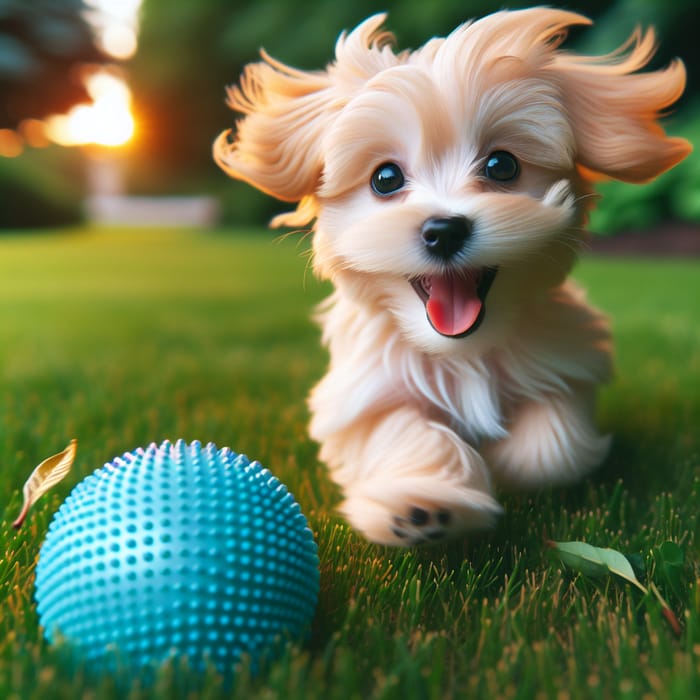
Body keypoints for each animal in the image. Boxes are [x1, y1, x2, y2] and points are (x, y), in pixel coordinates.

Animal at [215, 6, 688, 548]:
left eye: (502, 165)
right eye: (385, 178)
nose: (444, 230)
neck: (463, 353)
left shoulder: (565, 359)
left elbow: (553, 445)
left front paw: (507, 463)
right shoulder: (363, 392)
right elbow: (404, 429)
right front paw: (424, 504)